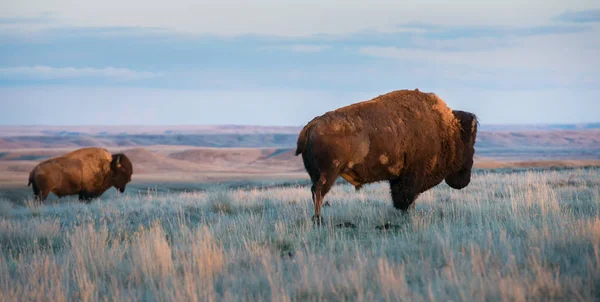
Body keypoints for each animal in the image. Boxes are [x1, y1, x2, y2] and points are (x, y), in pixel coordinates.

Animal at [296, 88, 478, 223]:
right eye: (470, 144)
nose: (465, 179)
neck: (445, 129)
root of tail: (312, 125)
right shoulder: (412, 176)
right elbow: (406, 197)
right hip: (329, 172)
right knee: (319, 191)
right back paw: (318, 220)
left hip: (316, 173)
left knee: (315, 191)